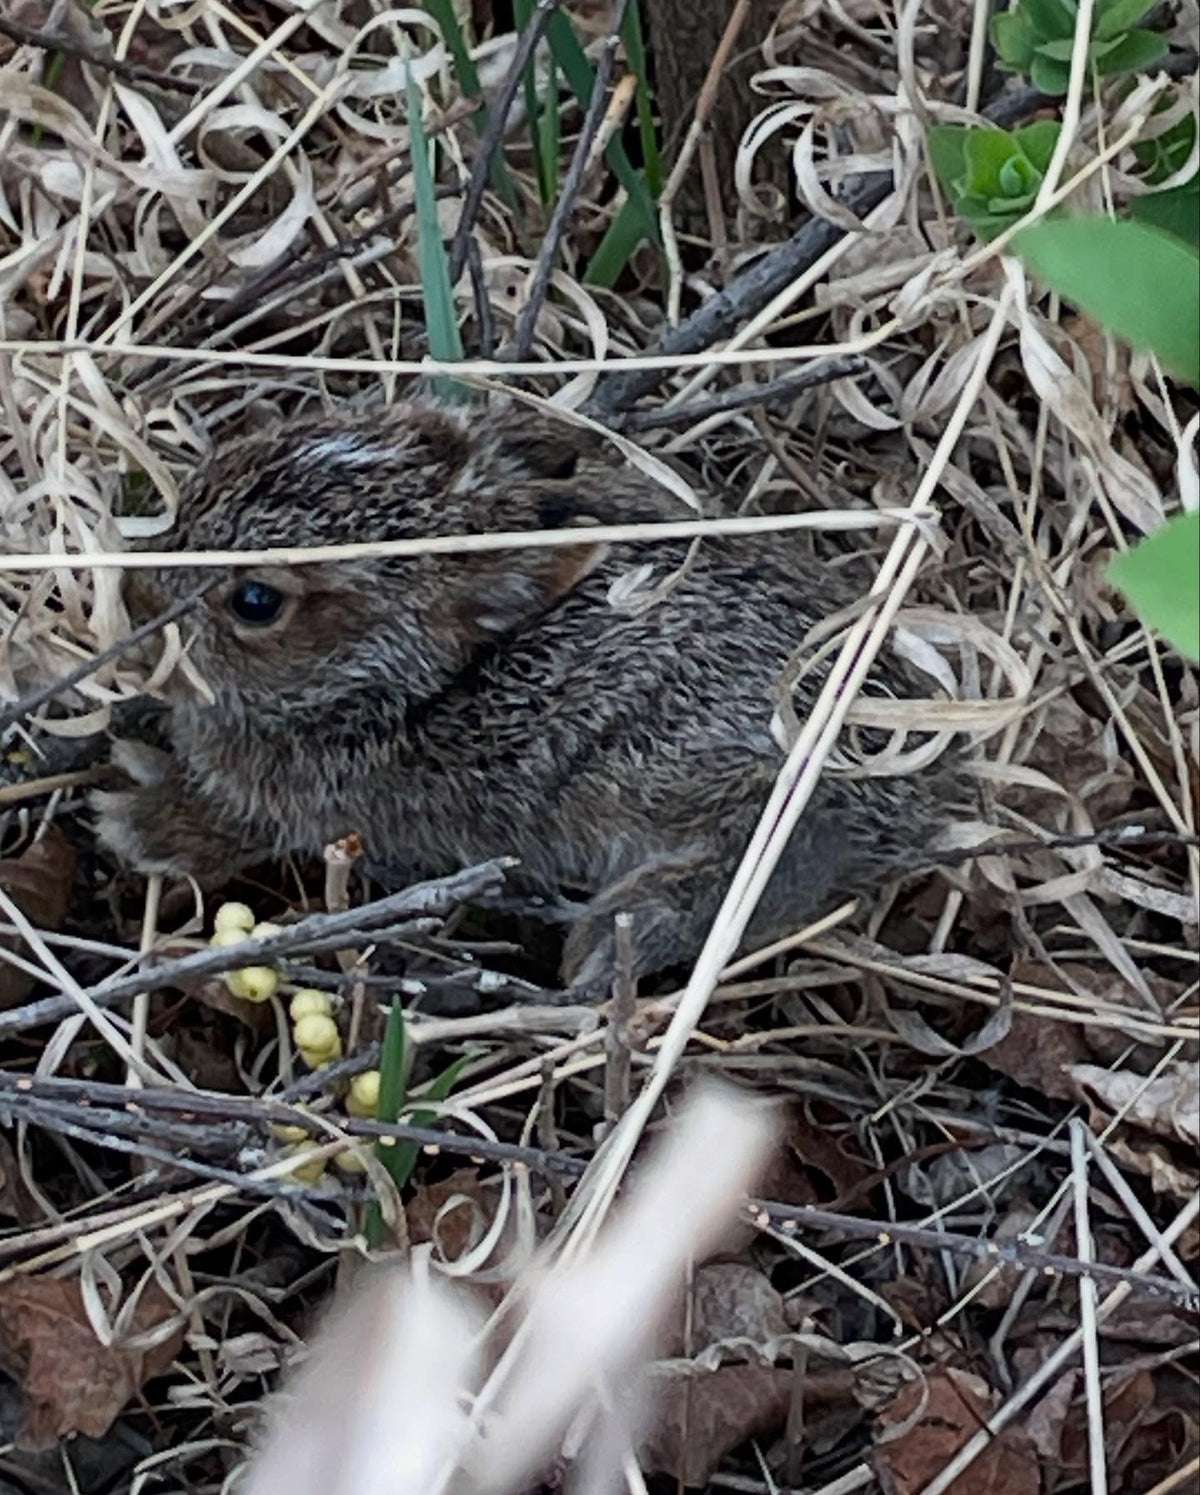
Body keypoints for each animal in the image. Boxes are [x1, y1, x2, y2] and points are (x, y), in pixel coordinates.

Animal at [94, 400, 962, 995]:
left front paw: (134, 818)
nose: (133, 601)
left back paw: (606, 940)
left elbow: (227, 825)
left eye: (254, 601)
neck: (390, 689)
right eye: (204, 484)